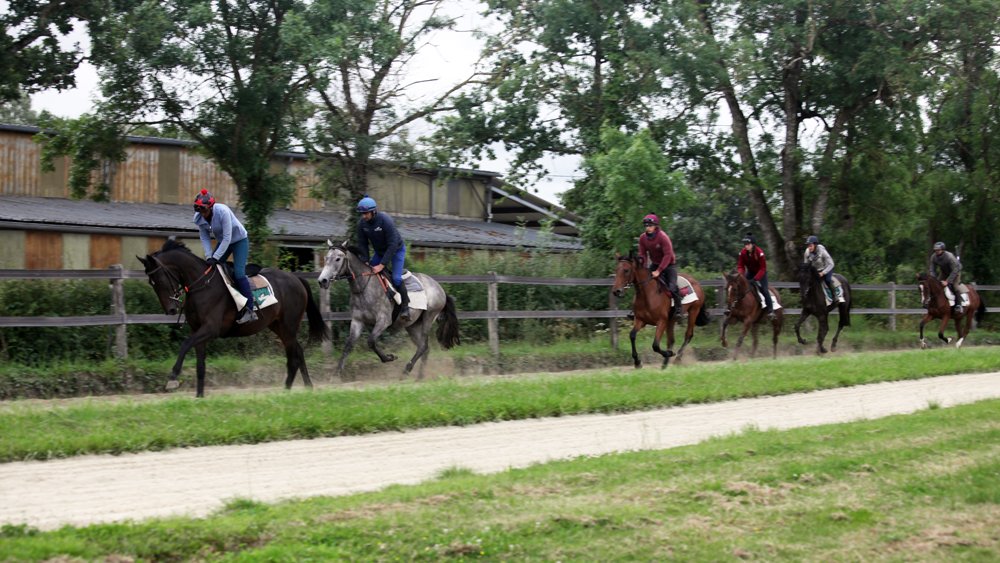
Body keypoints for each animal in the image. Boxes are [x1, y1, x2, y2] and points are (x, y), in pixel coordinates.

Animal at [138, 239, 328, 397]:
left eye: (159, 279)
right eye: (151, 283)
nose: (170, 309)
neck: (202, 285)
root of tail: (296, 278)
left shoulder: (210, 329)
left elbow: (185, 344)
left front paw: (173, 377)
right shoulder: (198, 331)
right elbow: (200, 365)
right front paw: (199, 396)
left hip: (288, 325)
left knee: (293, 357)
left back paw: (287, 390)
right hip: (278, 326)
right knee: (298, 351)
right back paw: (305, 387)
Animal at [317, 241, 460, 380]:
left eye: (338, 258)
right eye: (326, 258)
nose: (322, 280)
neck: (364, 287)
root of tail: (440, 288)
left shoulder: (383, 321)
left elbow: (371, 341)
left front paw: (390, 357)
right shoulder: (358, 321)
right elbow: (348, 345)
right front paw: (336, 375)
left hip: (428, 317)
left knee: (423, 346)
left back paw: (406, 371)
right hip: (413, 325)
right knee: (424, 348)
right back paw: (419, 377)